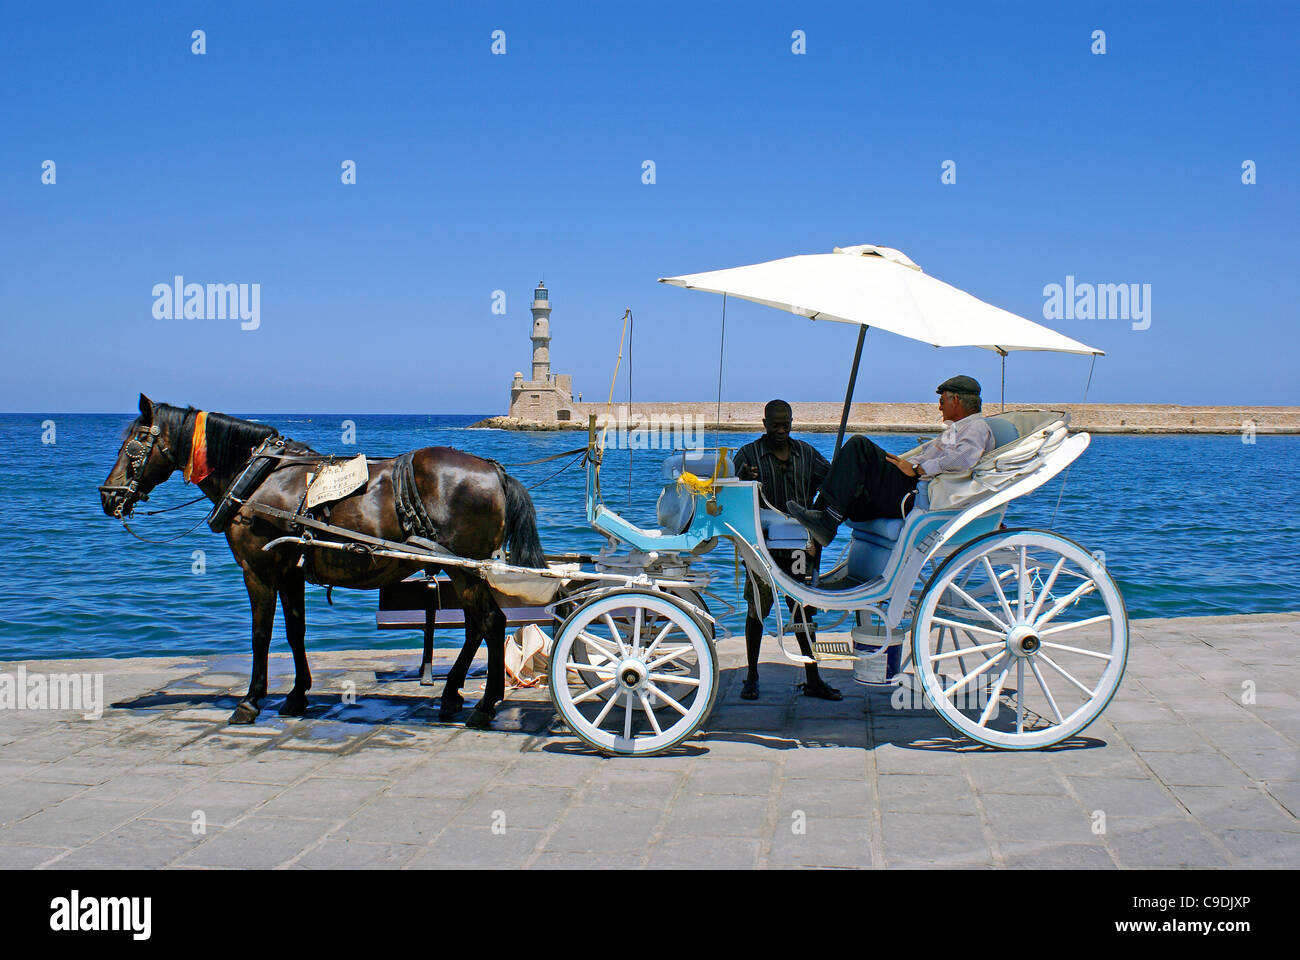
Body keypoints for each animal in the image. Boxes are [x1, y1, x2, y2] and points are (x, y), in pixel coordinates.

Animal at [98, 390, 546, 723]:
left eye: (134, 443)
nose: (108, 496)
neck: (257, 477)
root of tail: (494, 470)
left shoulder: (258, 570)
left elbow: (261, 635)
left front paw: (251, 700)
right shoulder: (290, 572)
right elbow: (295, 631)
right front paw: (297, 695)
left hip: (467, 570)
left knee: (491, 623)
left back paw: (484, 706)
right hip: (463, 571)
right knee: (477, 627)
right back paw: (454, 694)